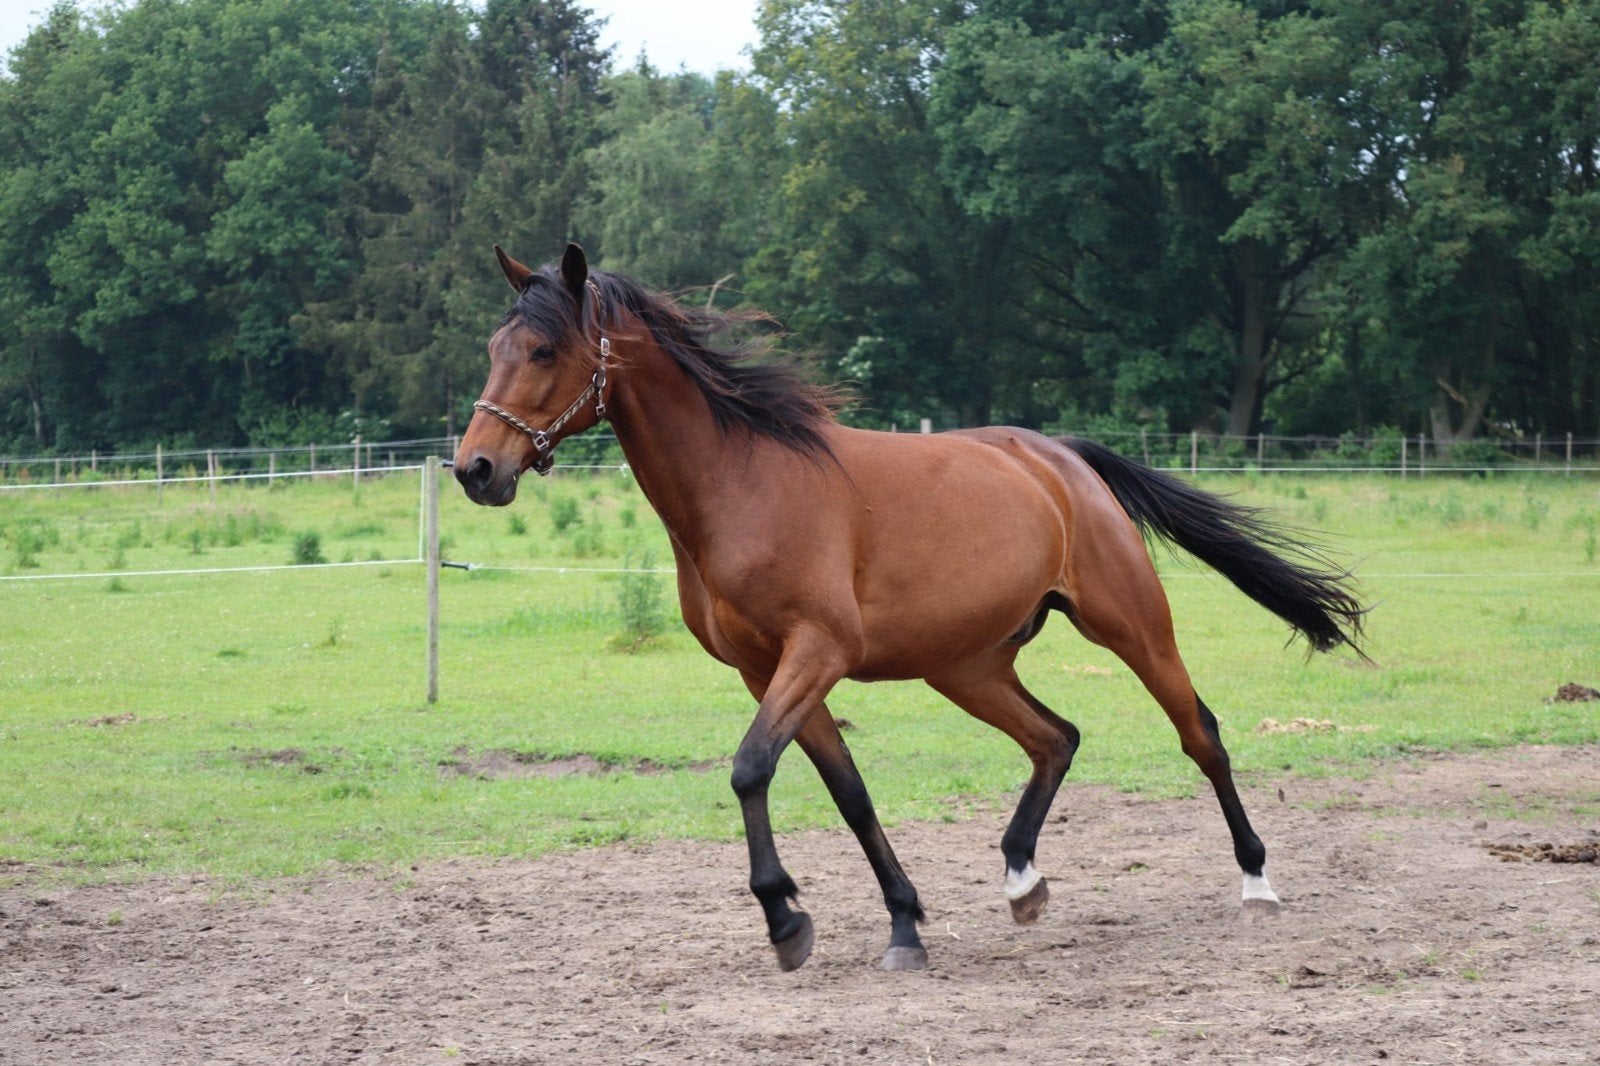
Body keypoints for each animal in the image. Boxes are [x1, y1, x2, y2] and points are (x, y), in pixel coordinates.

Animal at [454, 244, 1365, 973]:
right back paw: (1022, 881)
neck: (742, 484)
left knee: (1198, 733)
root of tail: (1059, 456)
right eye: (493, 348)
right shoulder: (765, 670)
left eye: (542, 348)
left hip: (1132, 625)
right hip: (966, 667)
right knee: (1056, 738)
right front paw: (903, 924)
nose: (475, 470)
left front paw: (785, 919)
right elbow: (848, 793)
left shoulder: (814, 652)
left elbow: (751, 769)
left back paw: (1255, 880)